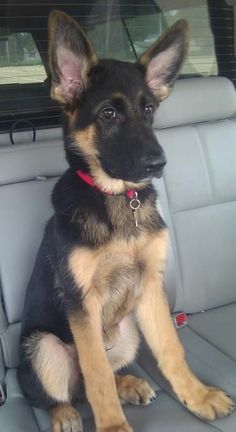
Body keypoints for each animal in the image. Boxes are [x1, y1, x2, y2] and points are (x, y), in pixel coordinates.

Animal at [18, 9, 234, 432]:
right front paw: (113, 427)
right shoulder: (82, 303)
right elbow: (96, 374)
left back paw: (130, 384)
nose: (158, 164)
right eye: (109, 113)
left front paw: (198, 396)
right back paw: (65, 414)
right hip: (43, 345)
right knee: (63, 390)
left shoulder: (149, 286)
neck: (119, 199)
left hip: (128, 330)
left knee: (91, 377)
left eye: (148, 110)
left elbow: (170, 349)